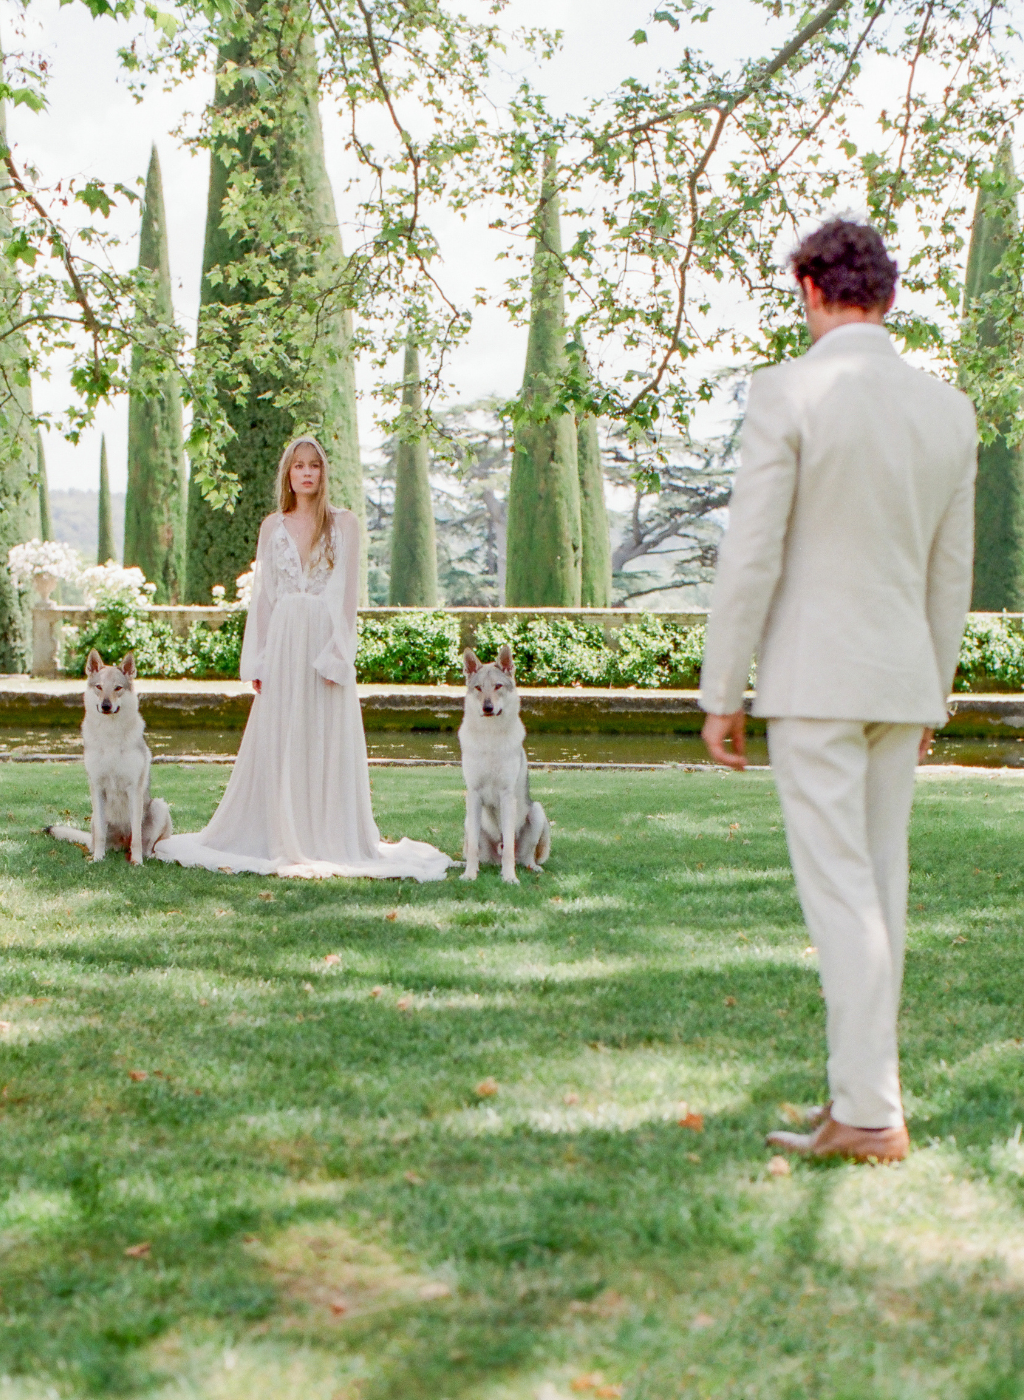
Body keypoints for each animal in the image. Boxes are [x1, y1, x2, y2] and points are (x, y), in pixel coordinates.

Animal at [46, 646, 172, 862]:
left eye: (118, 688)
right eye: (99, 687)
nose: (106, 706)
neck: (111, 734)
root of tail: (121, 843)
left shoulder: (133, 788)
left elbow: (137, 837)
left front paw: (137, 863)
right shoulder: (97, 787)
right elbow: (100, 836)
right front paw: (97, 859)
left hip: (159, 806)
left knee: (145, 845)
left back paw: (146, 857)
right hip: (94, 818)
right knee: (97, 838)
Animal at [459, 644, 549, 884]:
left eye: (498, 686)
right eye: (478, 688)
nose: (487, 707)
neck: (491, 738)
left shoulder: (507, 795)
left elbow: (509, 846)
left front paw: (509, 878)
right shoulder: (473, 794)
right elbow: (473, 848)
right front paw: (469, 874)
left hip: (537, 812)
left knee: (525, 856)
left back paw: (531, 868)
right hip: (468, 820)